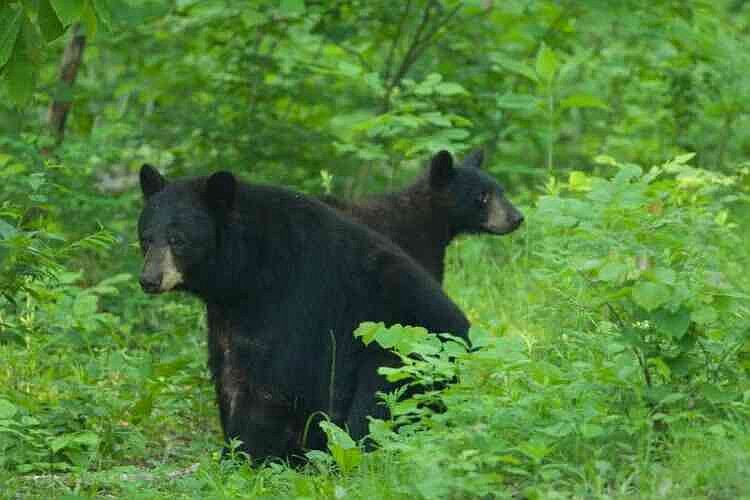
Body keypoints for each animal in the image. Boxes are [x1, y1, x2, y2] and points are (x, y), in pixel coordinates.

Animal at [137, 164, 470, 463]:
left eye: (178, 240)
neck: (246, 272)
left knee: (376, 401)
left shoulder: (290, 300)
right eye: (146, 238)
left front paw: (245, 457)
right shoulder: (228, 316)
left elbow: (270, 381)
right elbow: (228, 372)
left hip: (406, 353)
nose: (149, 279)